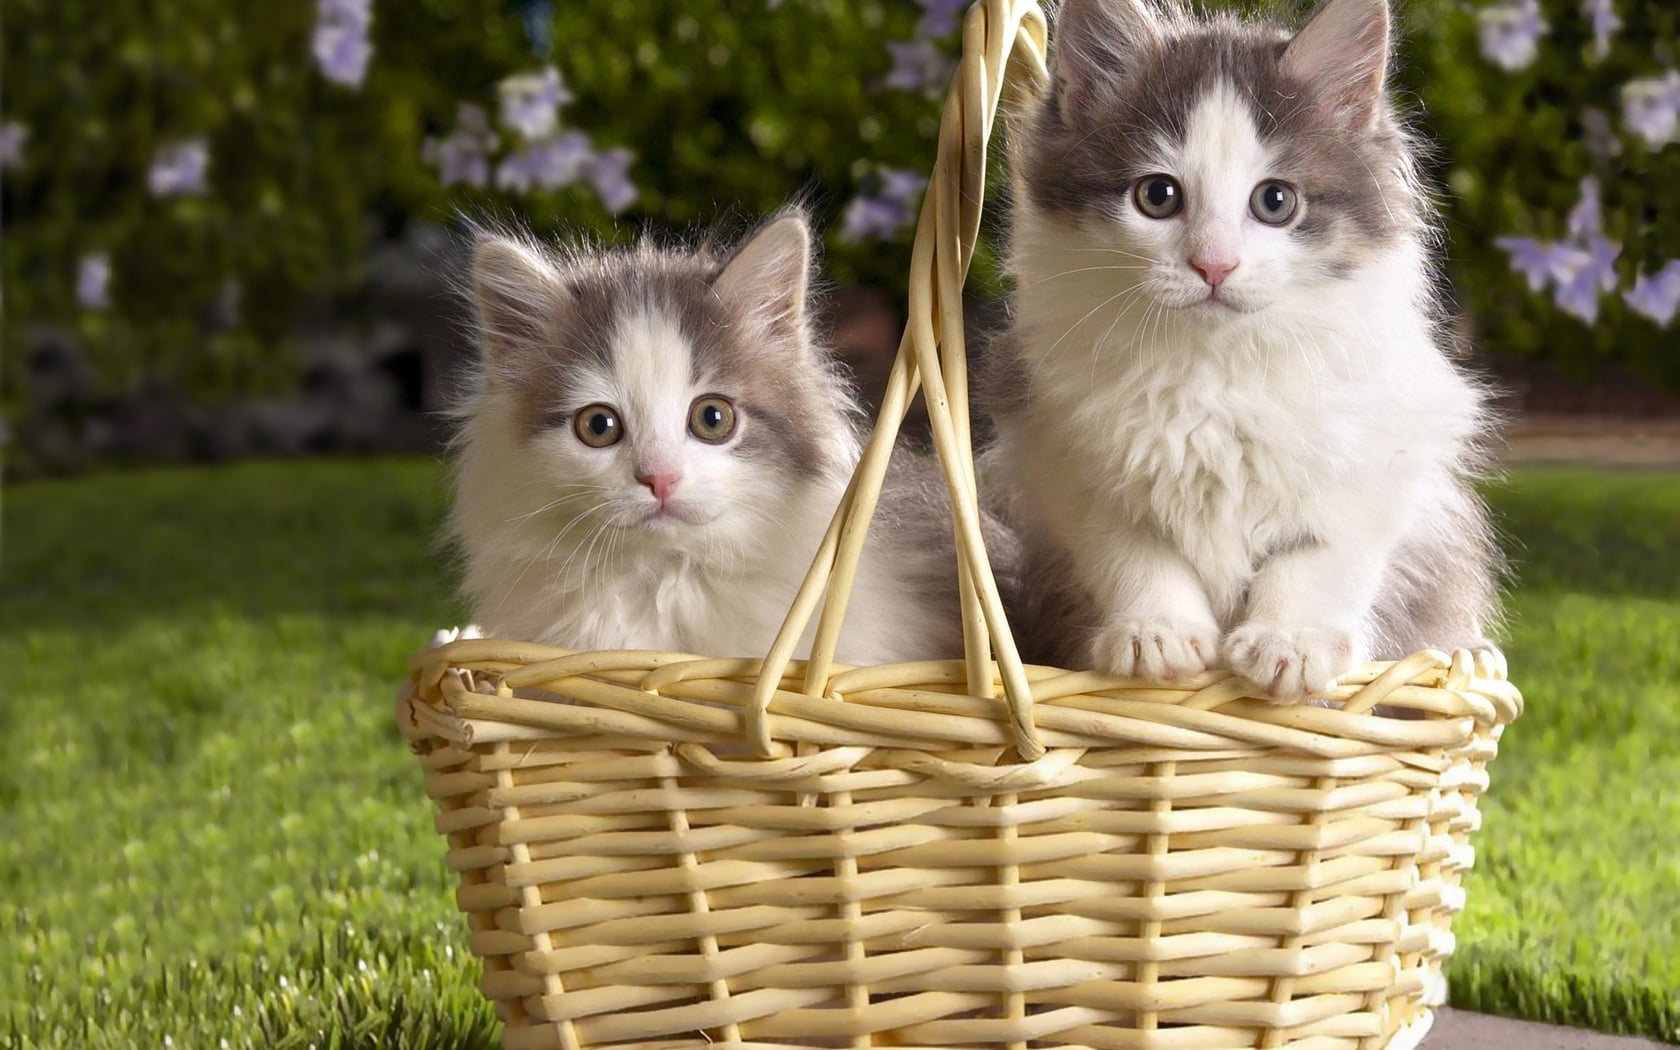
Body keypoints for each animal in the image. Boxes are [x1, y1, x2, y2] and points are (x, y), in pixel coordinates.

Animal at [981, 0, 1505, 698]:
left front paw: (1291, 642)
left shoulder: (1382, 460)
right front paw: (1157, 634)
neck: (1213, 368)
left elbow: (1320, 555)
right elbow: (1132, 551)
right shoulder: (1067, 458)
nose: (1214, 265)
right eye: (1158, 196)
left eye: (1274, 201)